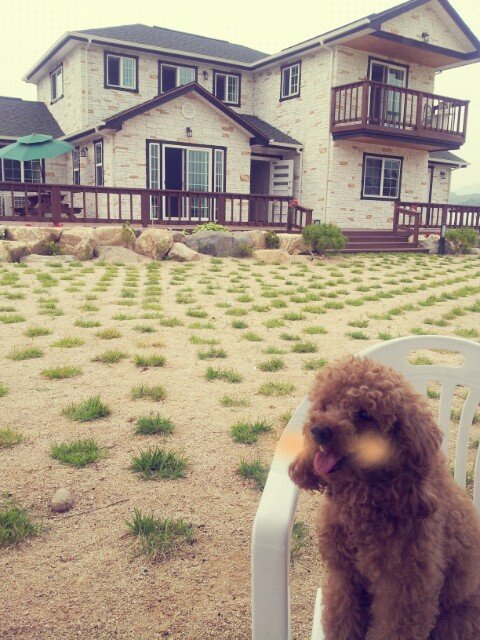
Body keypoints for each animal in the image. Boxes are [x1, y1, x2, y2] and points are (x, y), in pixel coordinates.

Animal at [289, 356, 480, 640]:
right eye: (325, 405)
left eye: (364, 414)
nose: (319, 430)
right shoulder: (344, 575)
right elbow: (341, 618)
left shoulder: (405, 590)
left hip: (456, 622)